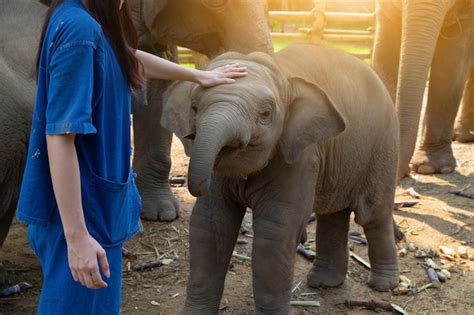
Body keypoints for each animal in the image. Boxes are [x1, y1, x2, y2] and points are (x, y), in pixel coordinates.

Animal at [163, 43, 400, 314]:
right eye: (194, 107)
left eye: (266, 114)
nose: (195, 186)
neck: (282, 74)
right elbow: (211, 223)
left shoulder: (300, 154)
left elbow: (276, 229)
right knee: (333, 214)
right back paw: (324, 283)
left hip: (384, 144)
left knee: (373, 214)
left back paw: (384, 286)